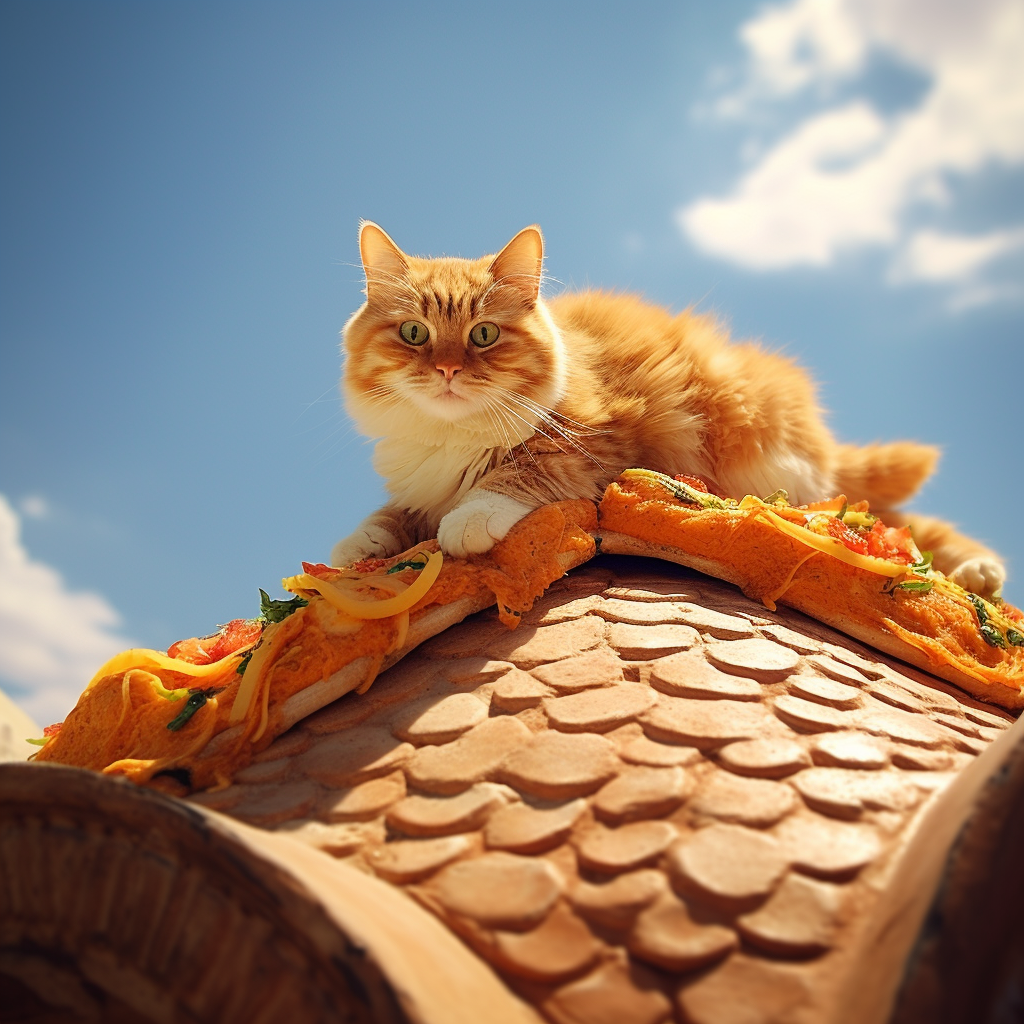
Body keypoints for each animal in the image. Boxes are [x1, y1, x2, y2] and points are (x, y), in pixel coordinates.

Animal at [333, 220, 999, 598]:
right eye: (415, 334)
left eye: (483, 336)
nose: (447, 371)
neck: (453, 437)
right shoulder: (419, 481)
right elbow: (391, 516)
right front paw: (357, 548)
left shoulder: (594, 441)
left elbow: (514, 476)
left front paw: (467, 520)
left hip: (772, 466)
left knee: (885, 525)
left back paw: (978, 572)